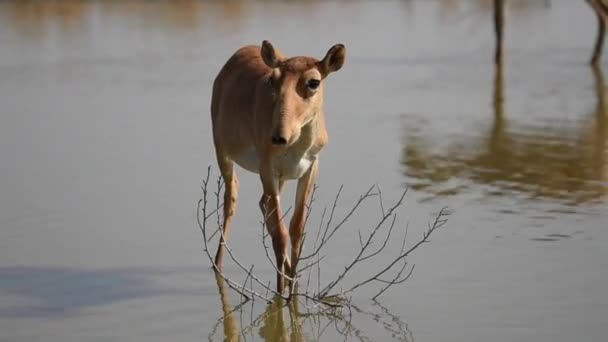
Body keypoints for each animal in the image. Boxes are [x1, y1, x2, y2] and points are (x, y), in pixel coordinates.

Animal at [209, 40, 344, 292]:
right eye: (273, 79)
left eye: (314, 82)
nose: (278, 137)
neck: (297, 145)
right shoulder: (267, 169)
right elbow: (281, 234)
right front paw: (282, 292)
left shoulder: (310, 168)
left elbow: (296, 228)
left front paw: (293, 286)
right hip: (223, 152)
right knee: (231, 199)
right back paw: (218, 264)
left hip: (280, 179)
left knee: (263, 204)